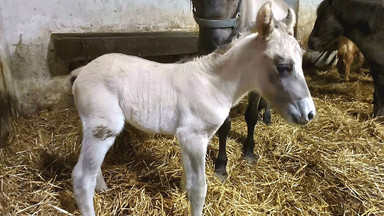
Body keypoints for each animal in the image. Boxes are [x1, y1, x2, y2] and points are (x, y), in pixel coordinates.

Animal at [190, 0, 292, 179]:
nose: (217, 47)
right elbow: (224, 125)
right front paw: (221, 164)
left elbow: (251, 116)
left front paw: (249, 151)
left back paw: (266, 116)